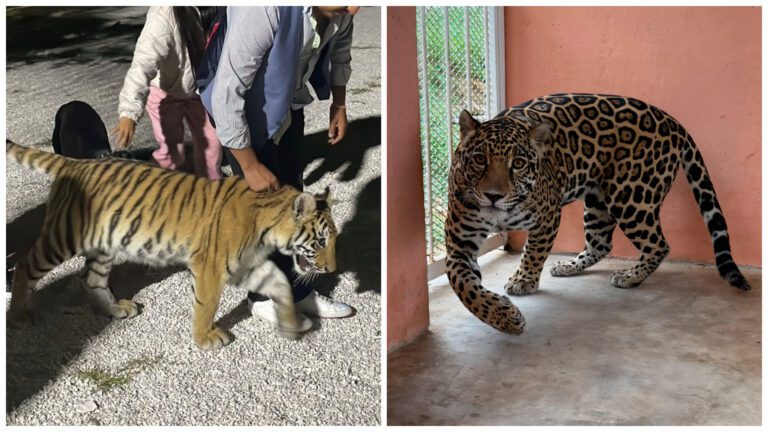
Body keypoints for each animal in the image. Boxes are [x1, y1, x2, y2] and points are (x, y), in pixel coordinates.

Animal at [5, 140, 337, 350]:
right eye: (321, 241)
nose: (332, 268)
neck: (268, 228)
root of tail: (75, 163)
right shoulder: (210, 266)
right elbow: (206, 304)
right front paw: (205, 339)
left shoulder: (247, 265)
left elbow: (280, 283)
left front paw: (290, 324)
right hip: (64, 236)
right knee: (25, 264)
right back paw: (19, 316)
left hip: (104, 246)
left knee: (91, 279)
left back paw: (116, 309)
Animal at [445, 93, 751, 335]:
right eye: (480, 159)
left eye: (518, 164)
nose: (493, 196)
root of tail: (673, 122)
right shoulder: (460, 244)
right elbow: (464, 286)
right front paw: (504, 317)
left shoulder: (548, 216)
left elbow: (533, 252)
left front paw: (523, 281)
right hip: (598, 201)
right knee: (601, 243)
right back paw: (568, 266)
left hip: (632, 199)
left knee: (659, 245)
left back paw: (630, 277)